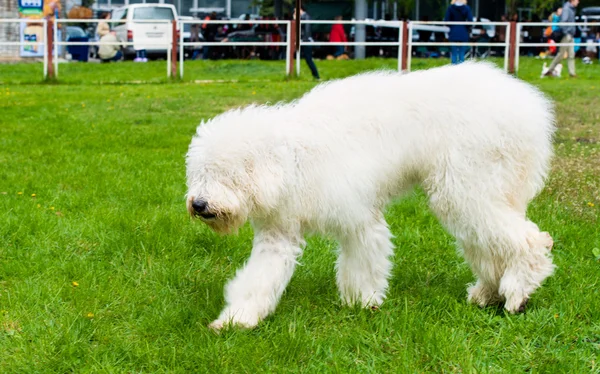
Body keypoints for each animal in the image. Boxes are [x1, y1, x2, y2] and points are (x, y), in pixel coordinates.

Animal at [185, 61, 556, 330]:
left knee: (530, 240)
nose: (199, 204)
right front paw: (237, 319)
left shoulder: (358, 219)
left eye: (226, 174)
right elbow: (259, 278)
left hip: (468, 190)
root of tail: (530, 106)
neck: (290, 160)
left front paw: (362, 303)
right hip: (477, 194)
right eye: (200, 173)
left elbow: (362, 263)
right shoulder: (278, 234)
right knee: (491, 248)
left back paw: (518, 293)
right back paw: (488, 293)